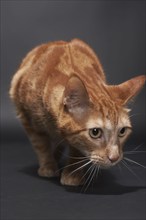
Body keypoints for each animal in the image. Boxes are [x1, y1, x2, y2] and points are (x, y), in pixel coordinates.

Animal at [9, 38, 145, 186]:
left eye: (122, 131)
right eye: (95, 132)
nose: (114, 158)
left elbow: (76, 150)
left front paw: (72, 173)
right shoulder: (26, 118)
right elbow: (41, 145)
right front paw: (48, 166)